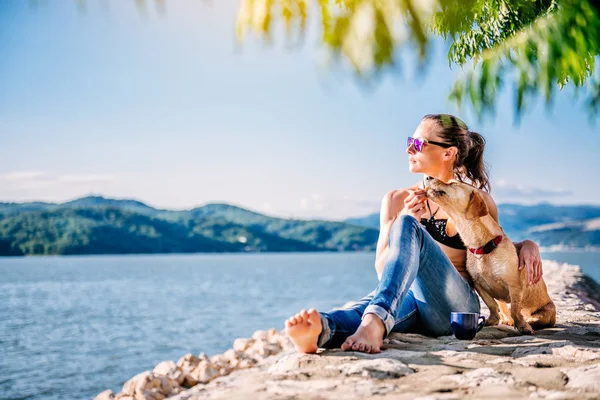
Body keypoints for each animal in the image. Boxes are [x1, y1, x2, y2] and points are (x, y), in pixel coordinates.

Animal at [424, 179, 556, 334]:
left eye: (453, 183)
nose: (428, 178)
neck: (482, 247)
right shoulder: (478, 284)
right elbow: (492, 304)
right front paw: (492, 320)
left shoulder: (515, 286)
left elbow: (515, 309)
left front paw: (522, 326)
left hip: (546, 311)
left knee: (532, 317)